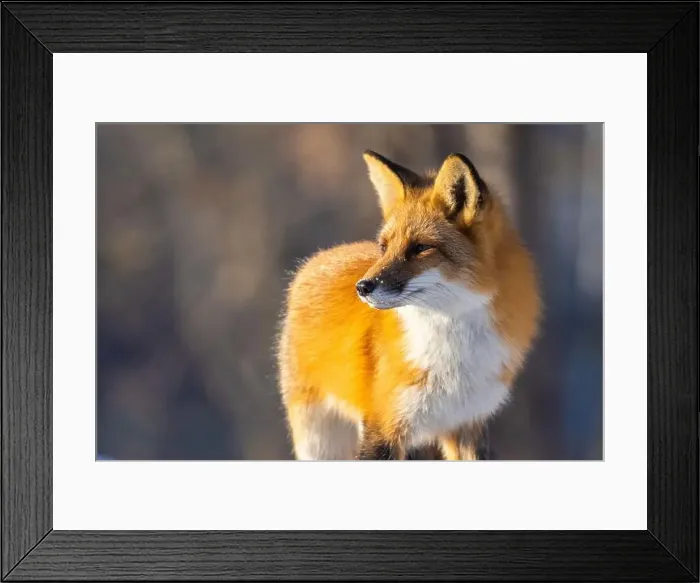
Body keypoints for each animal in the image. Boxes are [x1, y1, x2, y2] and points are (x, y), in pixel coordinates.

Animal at [277, 150, 541, 460]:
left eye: (420, 248)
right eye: (384, 247)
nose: (362, 287)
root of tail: (320, 256)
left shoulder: (468, 424)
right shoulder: (383, 426)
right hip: (320, 442)